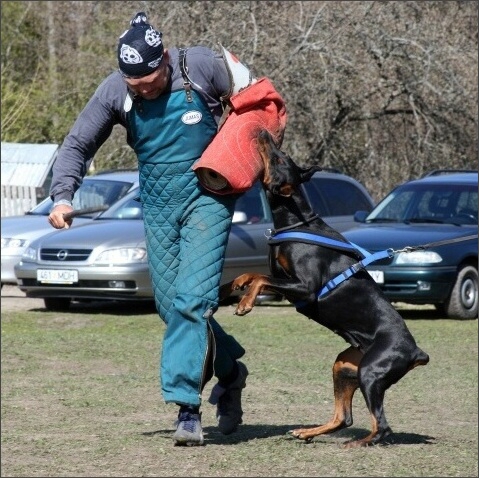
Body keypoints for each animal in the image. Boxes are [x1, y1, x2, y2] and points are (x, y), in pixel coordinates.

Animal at [221, 128, 432, 448]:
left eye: (279, 158)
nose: (263, 133)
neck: (296, 220)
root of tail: (416, 351)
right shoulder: (286, 283)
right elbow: (254, 274)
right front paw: (234, 285)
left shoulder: (305, 288)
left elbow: (261, 279)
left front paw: (245, 304)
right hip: (345, 365)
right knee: (344, 417)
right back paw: (307, 432)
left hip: (372, 371)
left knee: (382, 425)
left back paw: (359, 442)